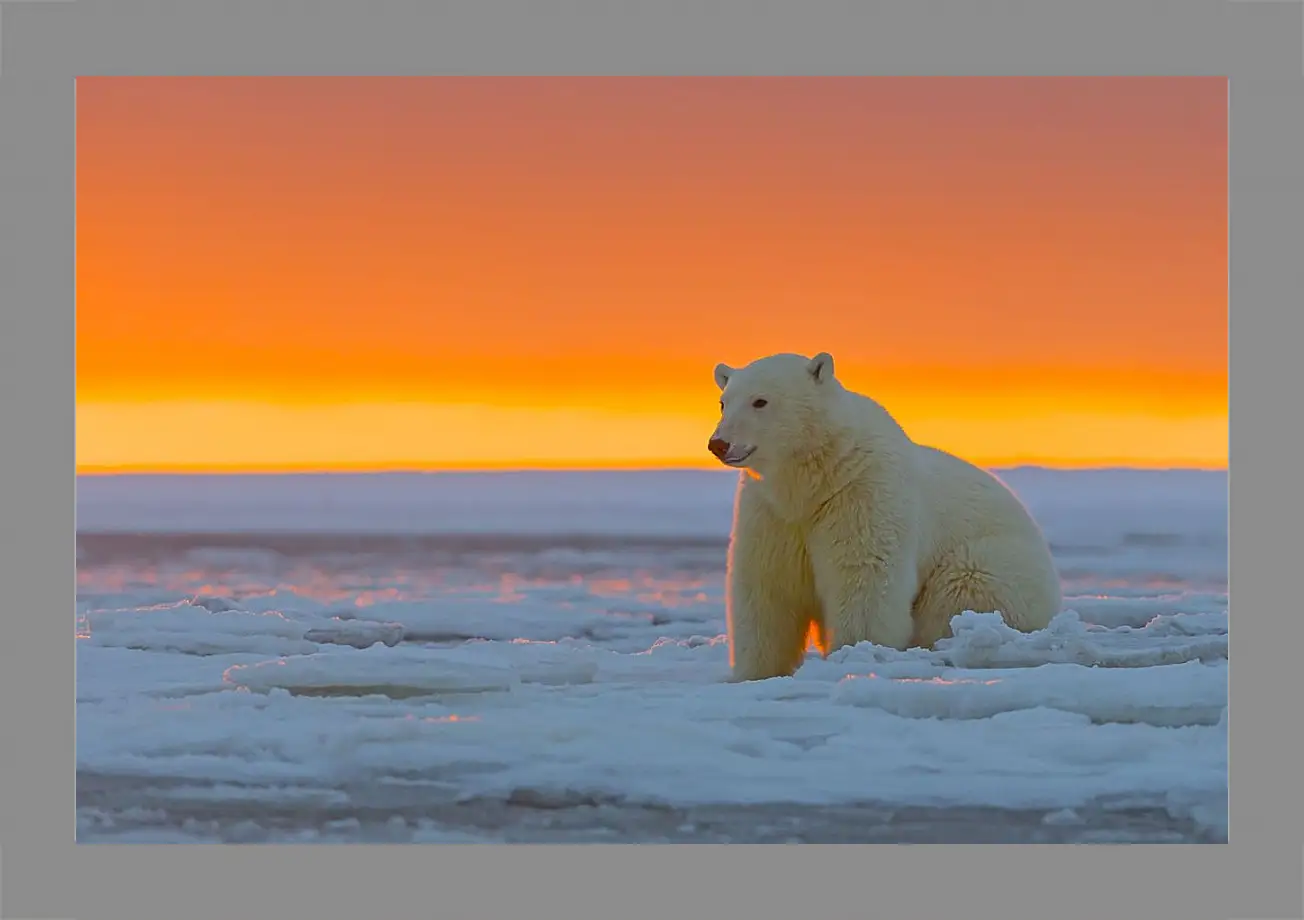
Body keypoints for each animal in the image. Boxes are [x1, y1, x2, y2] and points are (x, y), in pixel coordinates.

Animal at [709, 351, 1064, 682]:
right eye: (724, 402)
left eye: (760, 400)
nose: (718, 444)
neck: (815, 480)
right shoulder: (771, 512)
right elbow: (766, 587)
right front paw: (754, 673)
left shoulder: (862, 493)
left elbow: (863, 578)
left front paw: (856, 654)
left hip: (996, 566)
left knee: (963, 588)